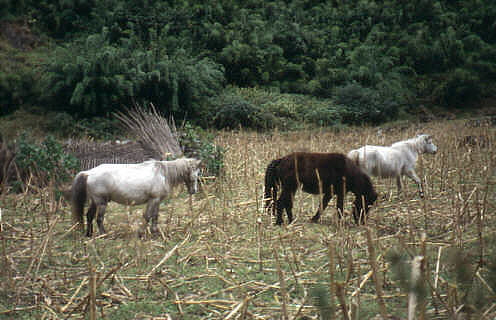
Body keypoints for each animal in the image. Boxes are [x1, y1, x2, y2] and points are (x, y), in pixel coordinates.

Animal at [70, 159, 202, 236]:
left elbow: (155, 216)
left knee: (89, 216)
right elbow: (147, 216)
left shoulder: (157, 201)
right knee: (99, 218)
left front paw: (155, 231)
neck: (163, 174)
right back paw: (103, 234)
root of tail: (89, 173)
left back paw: (89, 234)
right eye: (194, 175)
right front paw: (141, 232)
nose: (194, 191)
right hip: (101, 202)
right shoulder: (153, 200)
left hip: (94, 201)